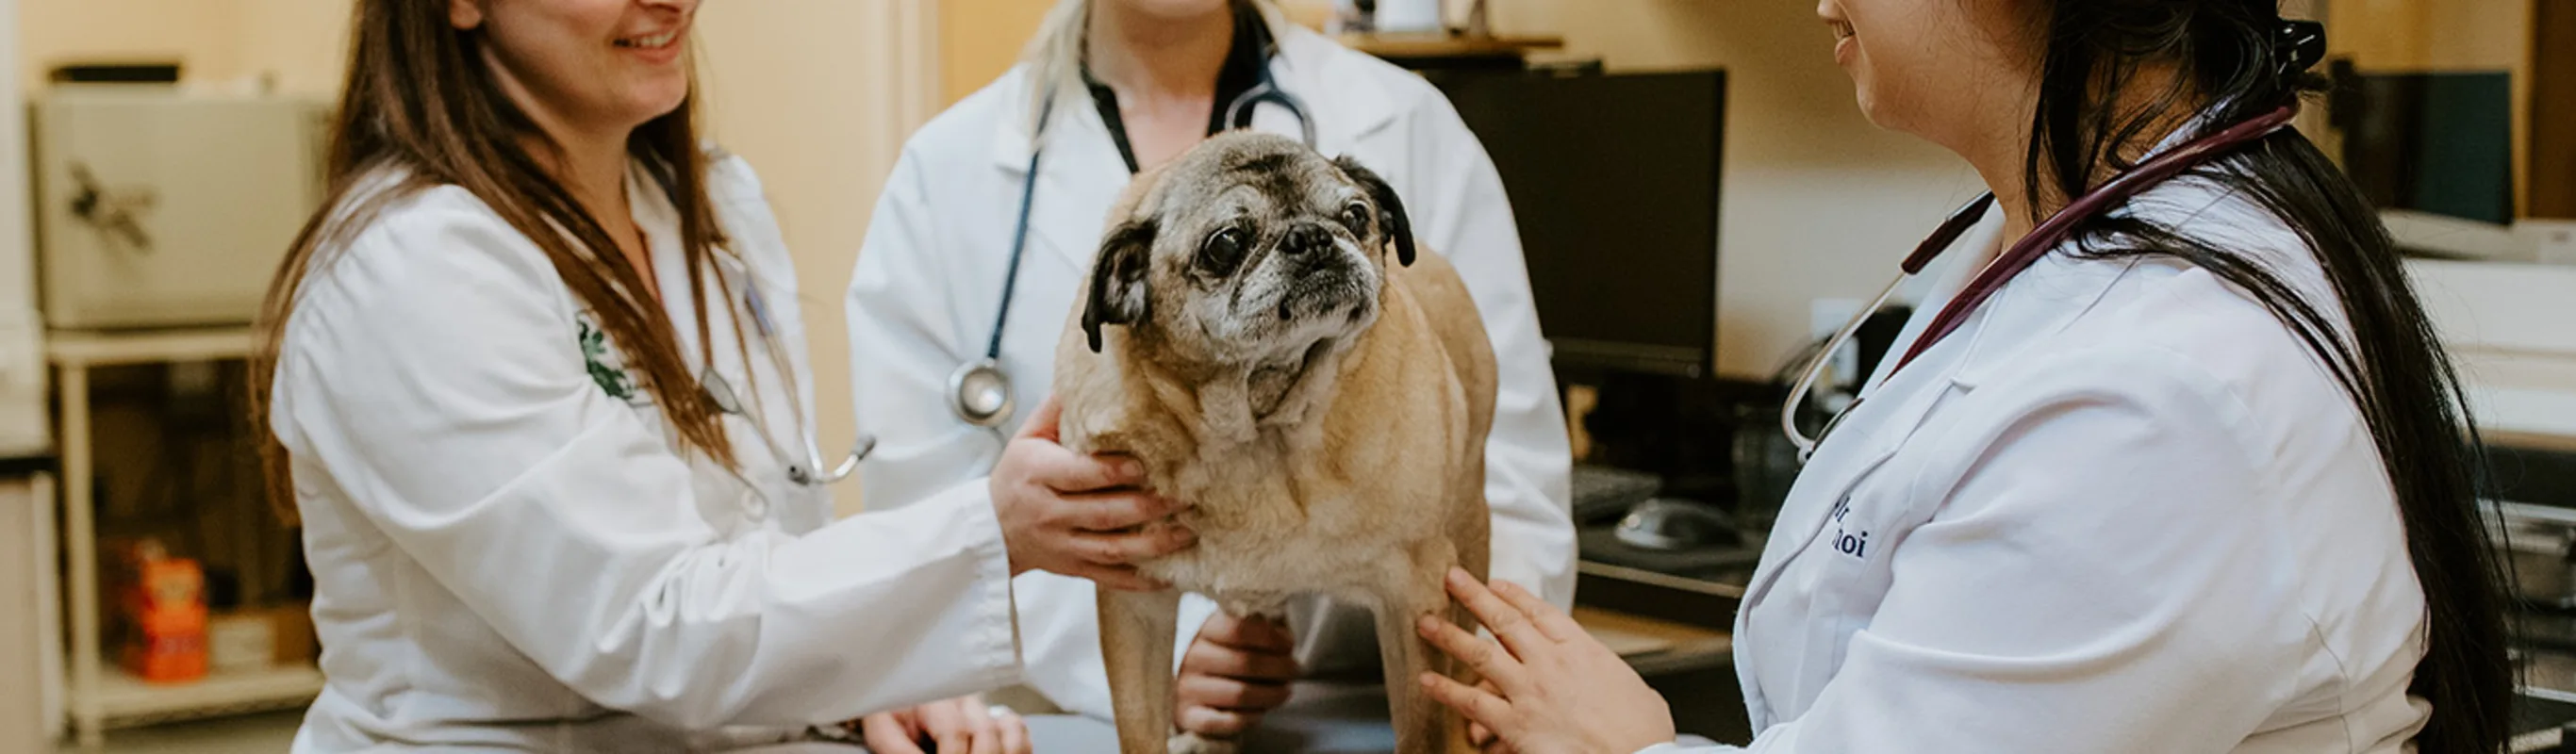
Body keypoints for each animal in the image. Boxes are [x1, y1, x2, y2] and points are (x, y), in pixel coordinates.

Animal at [1050, 130, 1504, 751]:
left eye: (1356, 215)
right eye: (1225, 244)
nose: (1310, 236)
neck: (1258, 428)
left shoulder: (1415, 598)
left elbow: (1426, 727)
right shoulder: (1134, 604)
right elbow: (1139, 726)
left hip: (1466, 541)